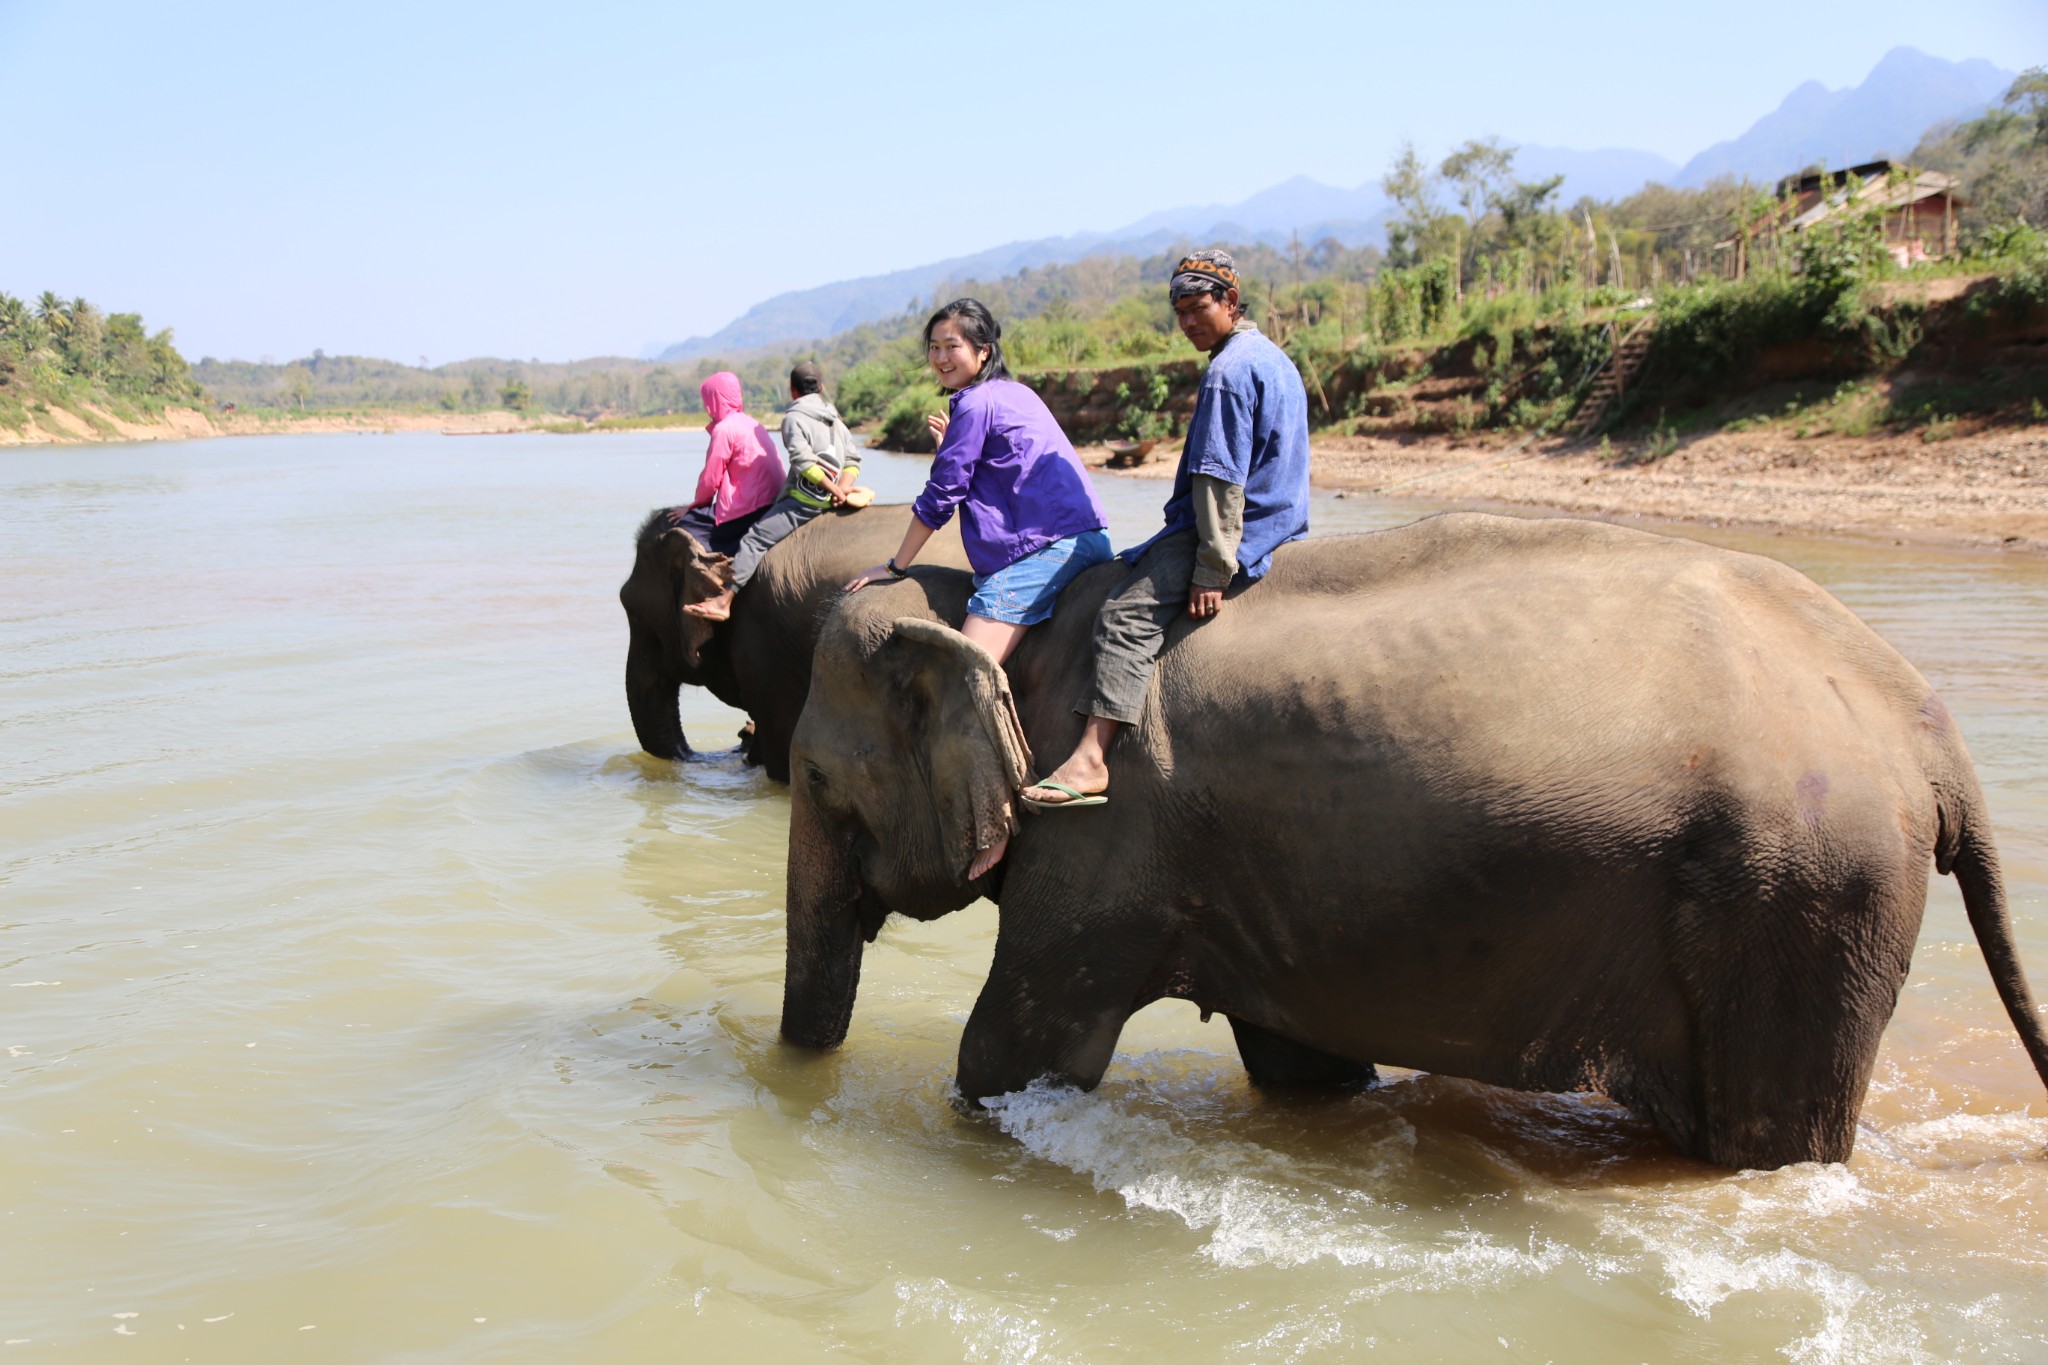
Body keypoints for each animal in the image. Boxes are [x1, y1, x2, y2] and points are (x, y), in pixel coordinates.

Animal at [770, 507, 2048, 1170]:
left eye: (821, 780)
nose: (790, 1096)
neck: (1016, 615)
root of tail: (1921, 722)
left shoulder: (1103, 836)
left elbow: (1014, 1054)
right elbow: (1302, 1066)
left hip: (1800, 898)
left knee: (1766, 1131)